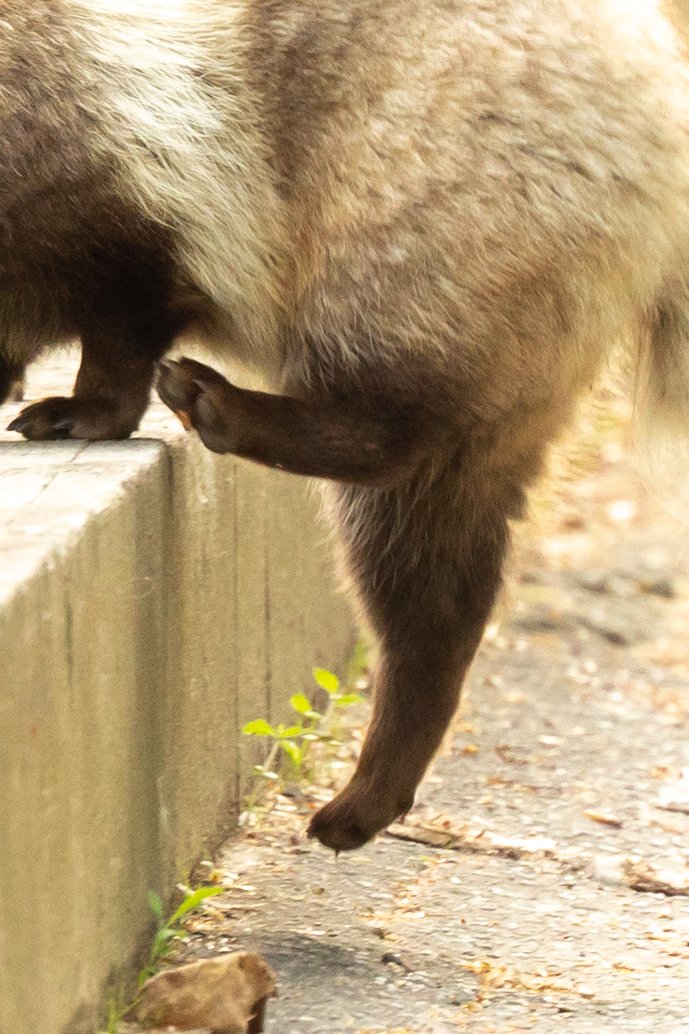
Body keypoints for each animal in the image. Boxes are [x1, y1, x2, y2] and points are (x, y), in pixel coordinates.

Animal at [4, 4, 686, 852]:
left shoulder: (105, 134)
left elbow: (122, 279)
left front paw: (92, 401)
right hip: (524, 317)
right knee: (427, 563)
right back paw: (384, 764)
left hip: (441, 190)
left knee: (390, 404)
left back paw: (259, 413)